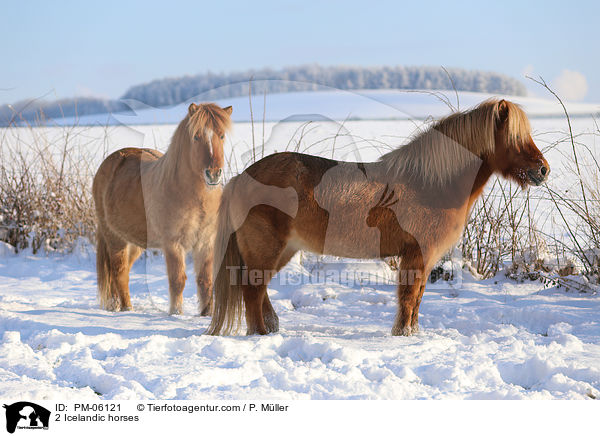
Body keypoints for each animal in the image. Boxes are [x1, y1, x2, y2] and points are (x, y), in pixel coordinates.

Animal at [207, 99, 548, 336]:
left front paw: (412, 334)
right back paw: (261, 335)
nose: (543, 170)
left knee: (258, 291)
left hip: (283, 250)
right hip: (266, 248)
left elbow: (418, 299)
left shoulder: (423, 259)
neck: (431, 184)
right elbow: (409, 299)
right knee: (252, 291)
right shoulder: (416, 255)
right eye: (515, 138)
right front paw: (403, 335)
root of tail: (242, 176)